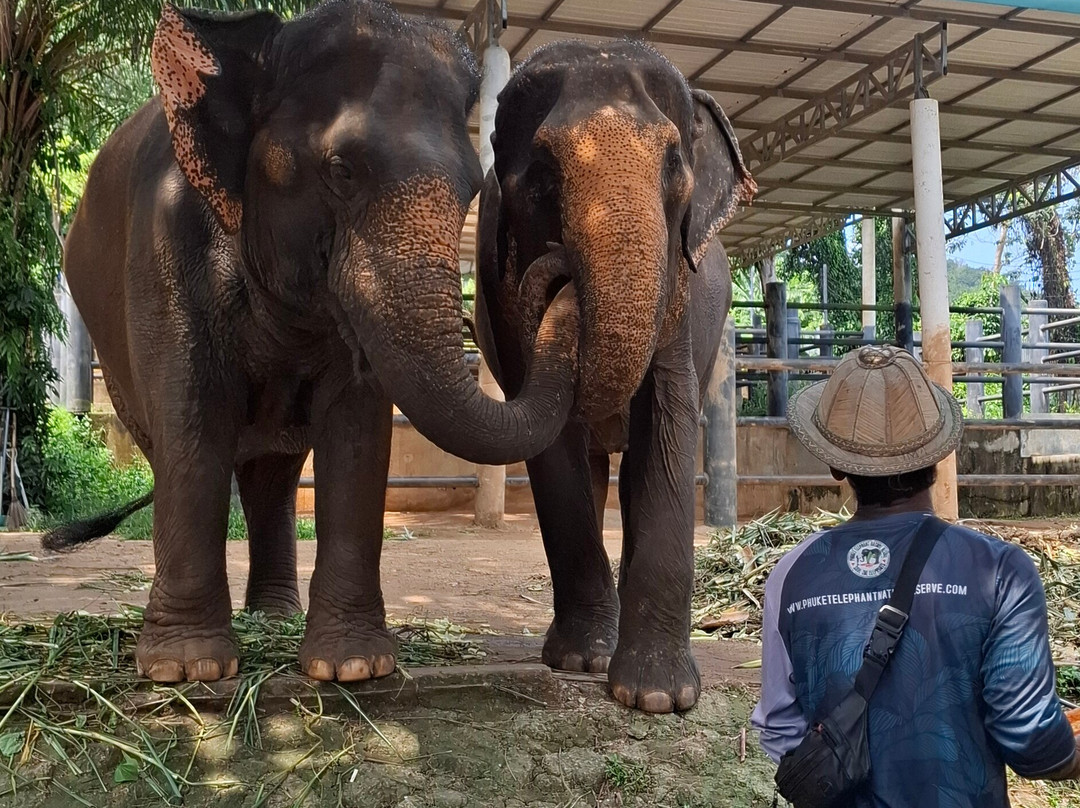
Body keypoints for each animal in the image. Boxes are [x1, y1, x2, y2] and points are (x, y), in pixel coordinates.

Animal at [46, 0, 581, 684]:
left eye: (471, 186)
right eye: (342, 171)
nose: (562, 265)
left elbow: (357, 428)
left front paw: (353, 667)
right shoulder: (165, 250)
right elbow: (192, 420)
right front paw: (187, 670)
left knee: (273, 473)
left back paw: (273, 618)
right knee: (179, 450)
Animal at [473, 41, 755, 713]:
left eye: (675, 164)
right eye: (541, 175)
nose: (557, 272)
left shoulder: (679, 288)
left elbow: (670, 419)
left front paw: (658, 698)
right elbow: (553, 448)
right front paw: (582, 662)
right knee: (594, 469)